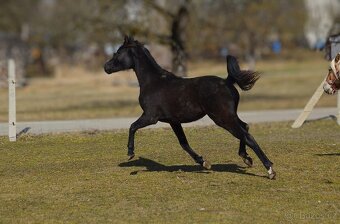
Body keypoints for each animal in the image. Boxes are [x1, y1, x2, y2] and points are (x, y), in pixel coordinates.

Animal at [104, 37, 276, 180]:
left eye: (118, 52)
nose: (106, 67)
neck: (154, 82)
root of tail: (228, 82)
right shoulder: (173, 121)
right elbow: (183, 143)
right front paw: (203, 162)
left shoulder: (150, 117)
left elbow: (132, 126)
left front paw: (130, 153)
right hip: (230, 115)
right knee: (245, 127)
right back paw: (246, 158)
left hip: (222, 118)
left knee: (247, 136)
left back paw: (270, 170)